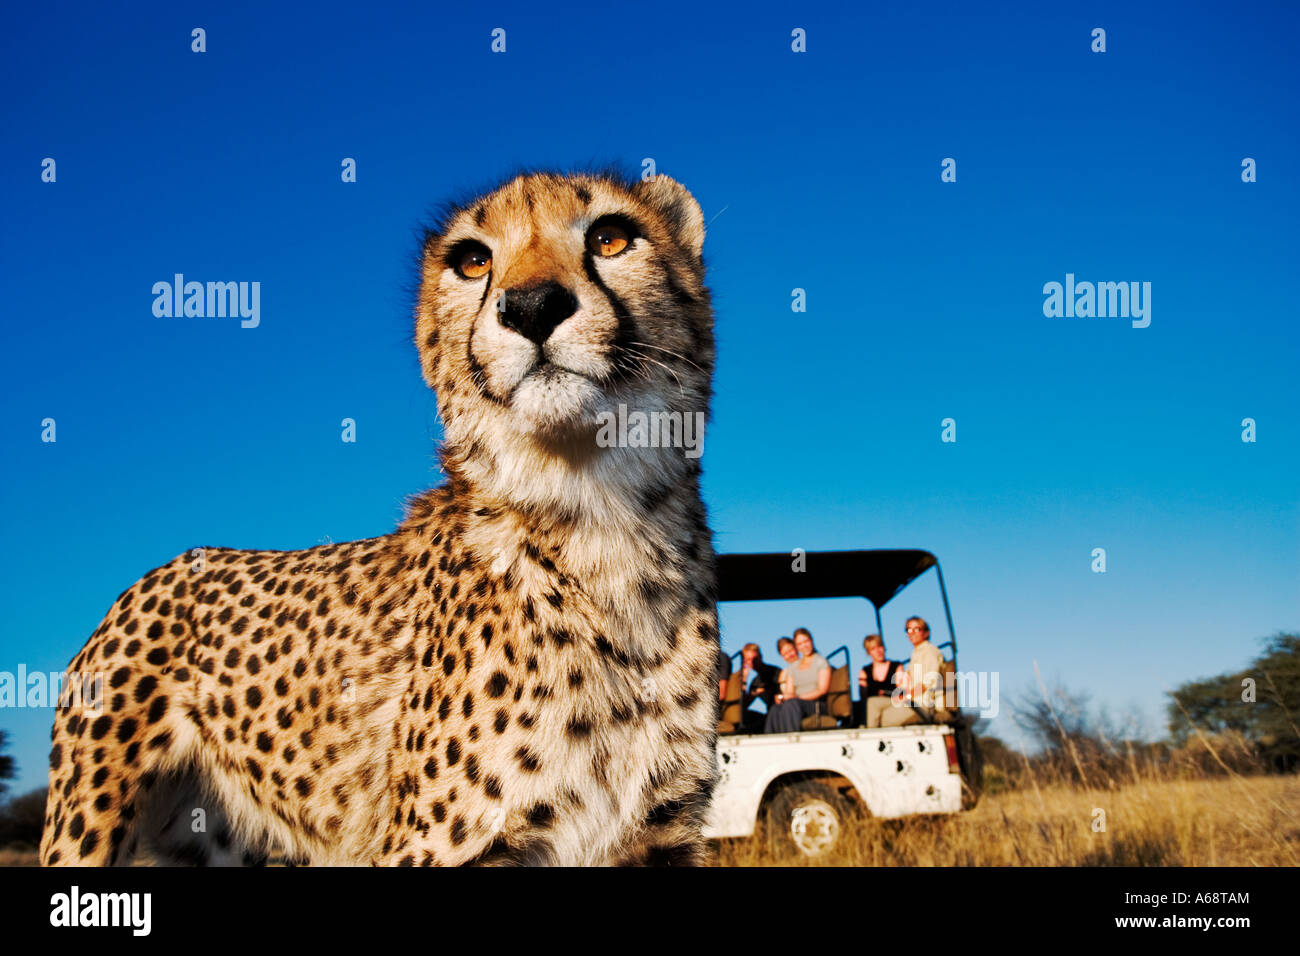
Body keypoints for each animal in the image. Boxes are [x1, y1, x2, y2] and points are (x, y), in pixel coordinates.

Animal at [39, 168, 721, 866]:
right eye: (473, 261)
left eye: (611, 237)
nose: (530, 306)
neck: (598, 516)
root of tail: (171, 565)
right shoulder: (437, 847)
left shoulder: (658, 837)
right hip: (84, 829)